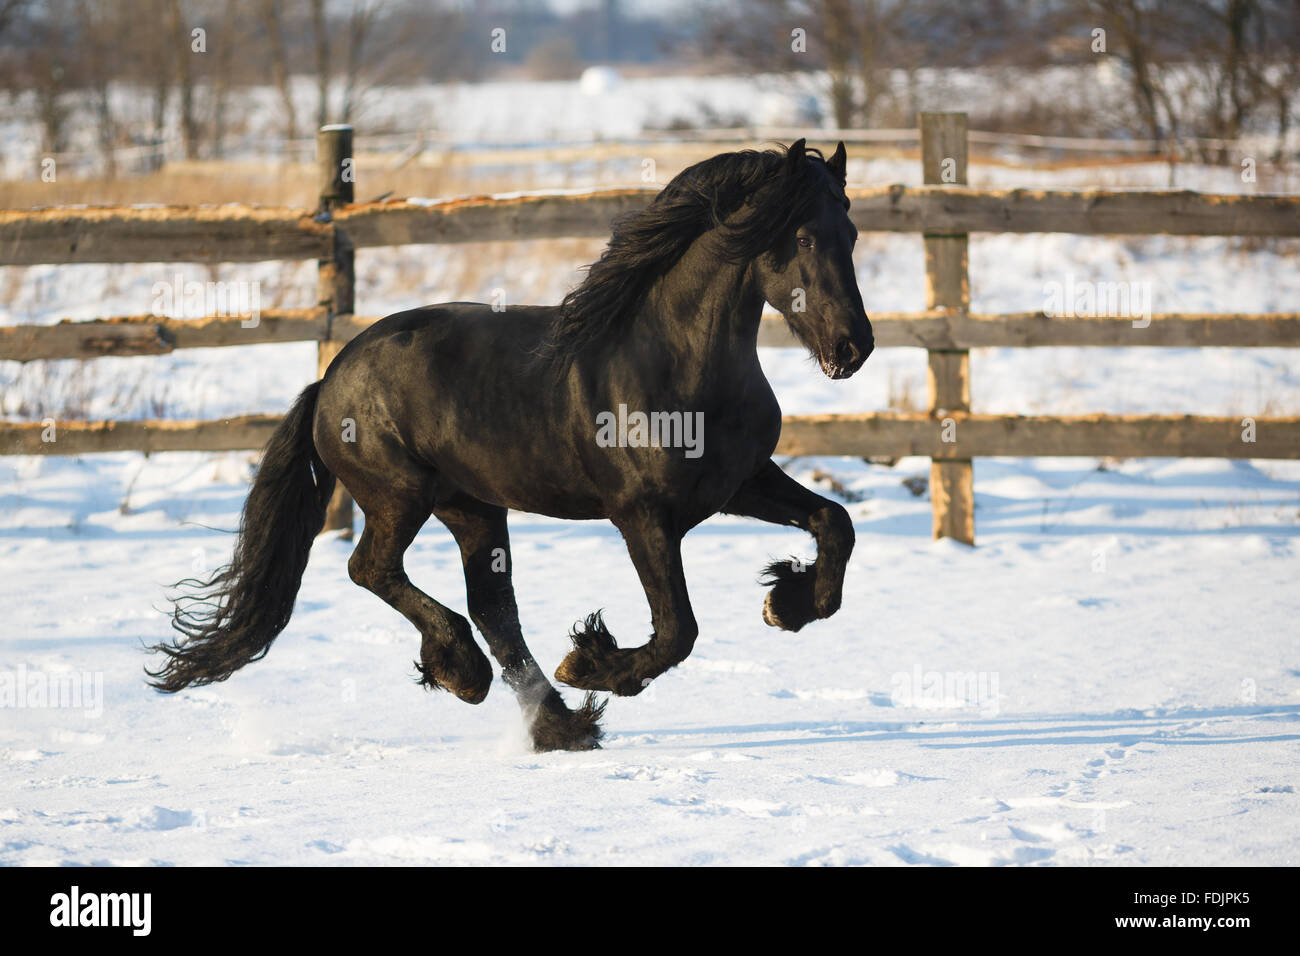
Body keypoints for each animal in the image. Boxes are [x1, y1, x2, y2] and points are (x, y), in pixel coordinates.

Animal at [147, 139, 873, 752]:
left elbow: (835, 524)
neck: (675, 362)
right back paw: (465, 671)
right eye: (803, 235)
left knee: (493, 610)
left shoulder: (740, 482)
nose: (853, 348)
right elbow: (678, 631)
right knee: (373, 570)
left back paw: (557, 725)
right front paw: (592, 662)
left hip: (473, 507)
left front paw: (786, 604)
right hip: (400, 496)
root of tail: (331, 376)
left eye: (853, 233)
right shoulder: (641, 515)